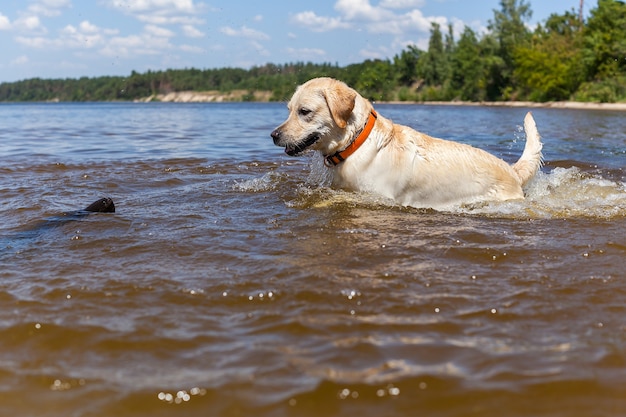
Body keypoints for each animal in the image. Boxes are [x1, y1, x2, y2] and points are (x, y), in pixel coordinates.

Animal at [270, 77, 540, 210]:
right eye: (289, 110)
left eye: (304, 112)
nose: (273, 135)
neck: (357, 142)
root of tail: (511, 171)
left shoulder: (376, 197)